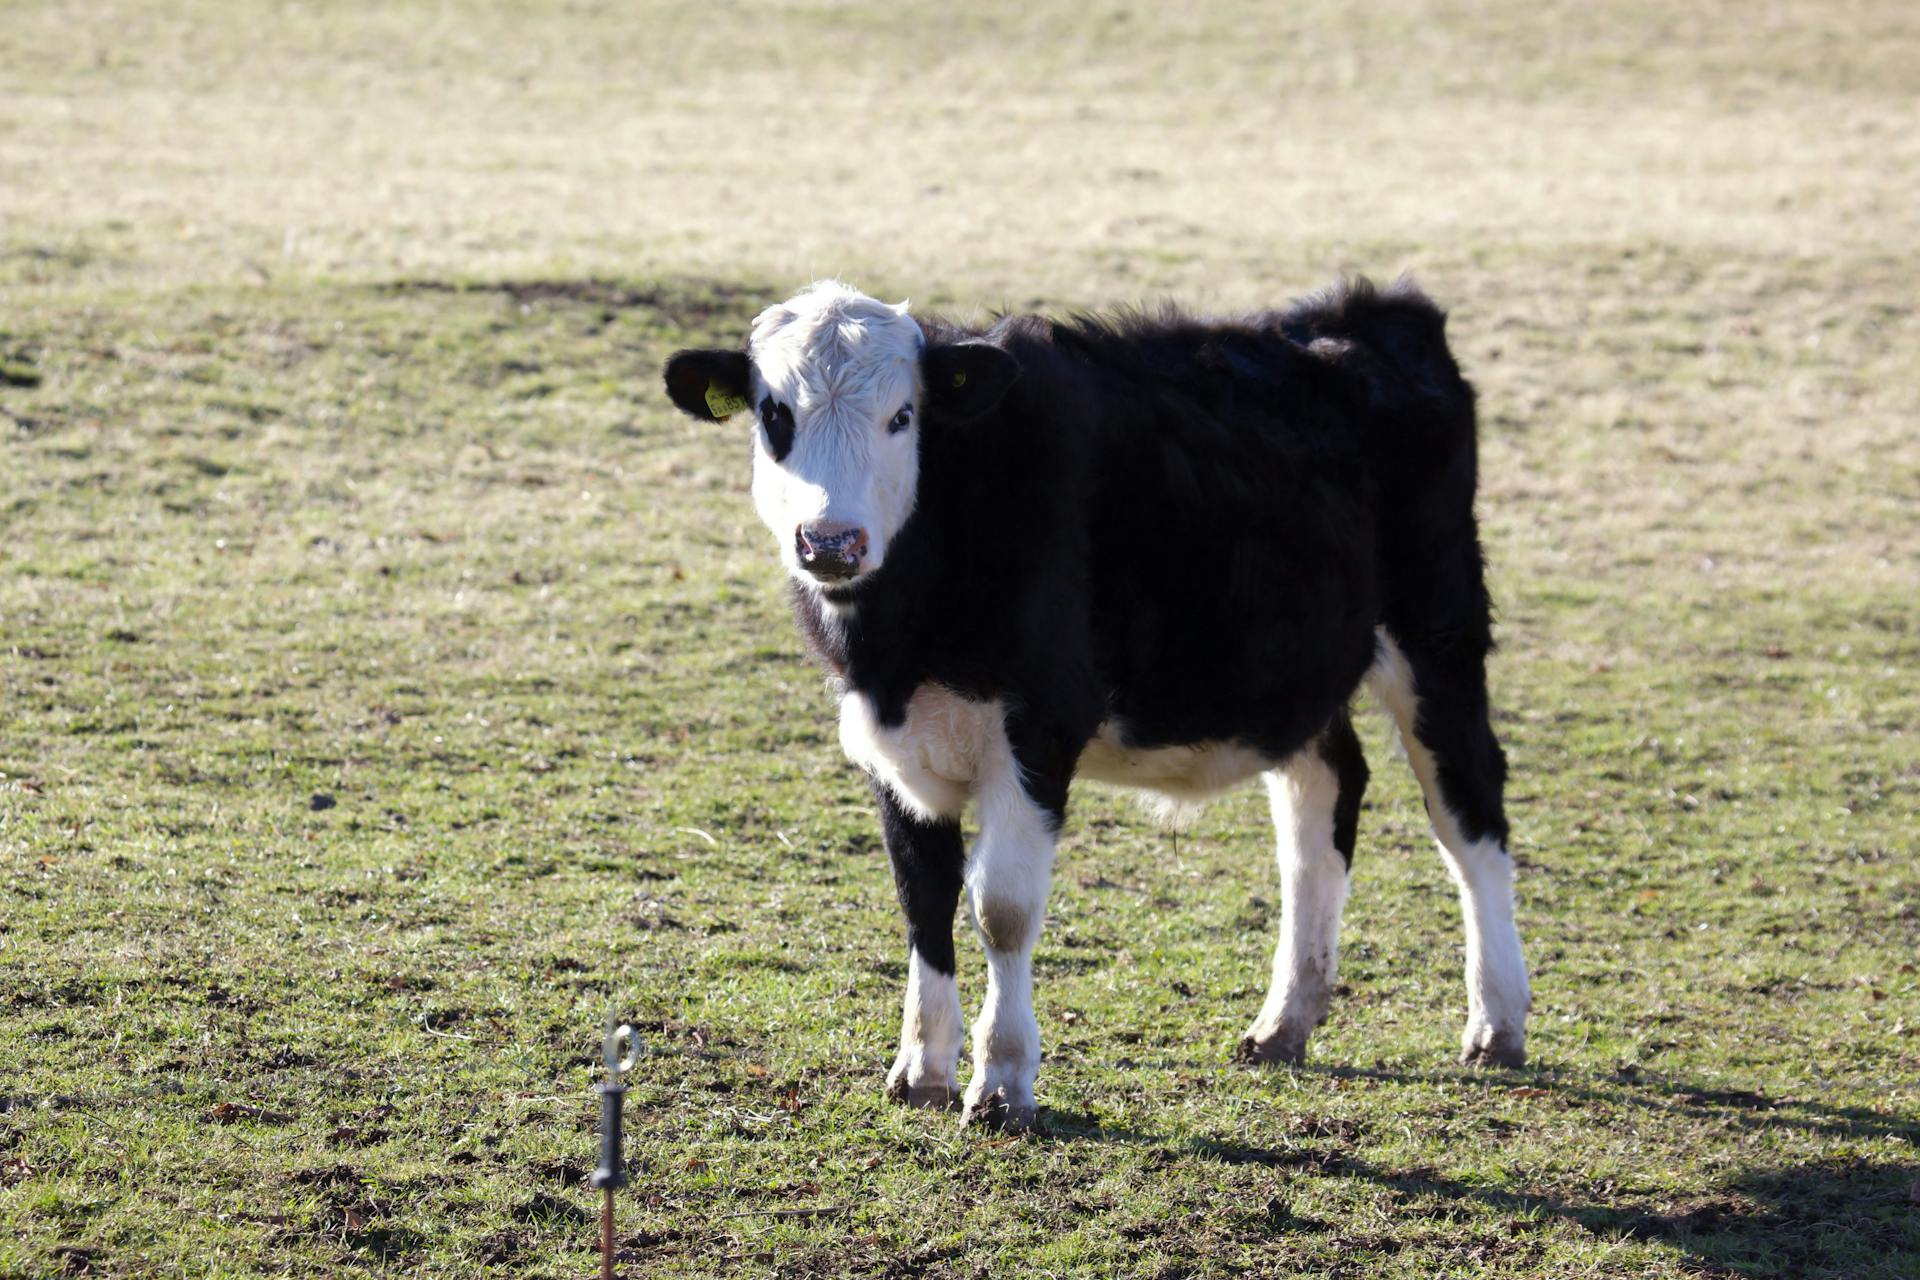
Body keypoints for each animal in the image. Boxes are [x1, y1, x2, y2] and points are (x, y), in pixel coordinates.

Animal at [668, 280, 1536, 1128]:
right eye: (775, 415)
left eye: (903, 416)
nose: (831, 542)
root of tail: (1379, 311)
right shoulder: (893, 748)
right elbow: (923, 898)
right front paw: (921, 1070)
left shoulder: (1040, 731)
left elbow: (1001, 907)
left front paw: (1002, 1082)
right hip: (1300, 672)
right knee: (1318, 807)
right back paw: (1284, 1021)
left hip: (1437, 632)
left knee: (1468, 808)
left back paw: (1496, 1023)